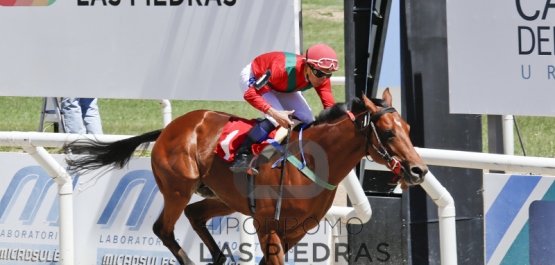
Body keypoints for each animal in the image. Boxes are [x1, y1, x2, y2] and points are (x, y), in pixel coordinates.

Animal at [66, 88, 430, 264]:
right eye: (388, 132)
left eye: (409, 128)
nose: (419, 170)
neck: (312, 162)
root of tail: (170, 127)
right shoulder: (268, 226)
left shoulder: (295, 230)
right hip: (177, 188)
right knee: (163, 228)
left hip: (224, 198)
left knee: (195, 215)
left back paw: (217, 259)